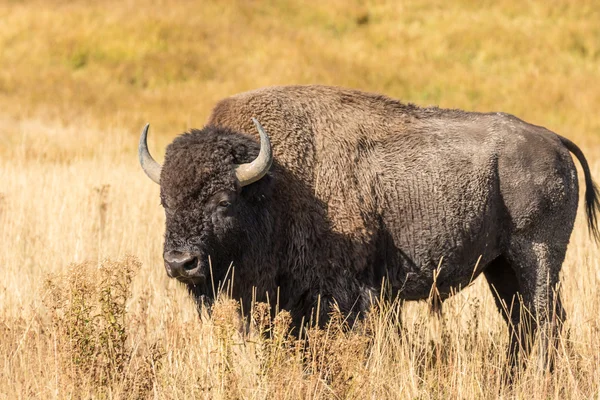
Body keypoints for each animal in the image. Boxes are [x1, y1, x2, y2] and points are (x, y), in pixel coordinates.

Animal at [139, 84, 596, 372]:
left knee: (545, 320)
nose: (181, 263)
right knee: (521, 322)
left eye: (224, 202)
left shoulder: (344, 295)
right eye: (165, 202)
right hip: (500, 268)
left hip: (535, 256)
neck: (276, 183)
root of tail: (554, 140)